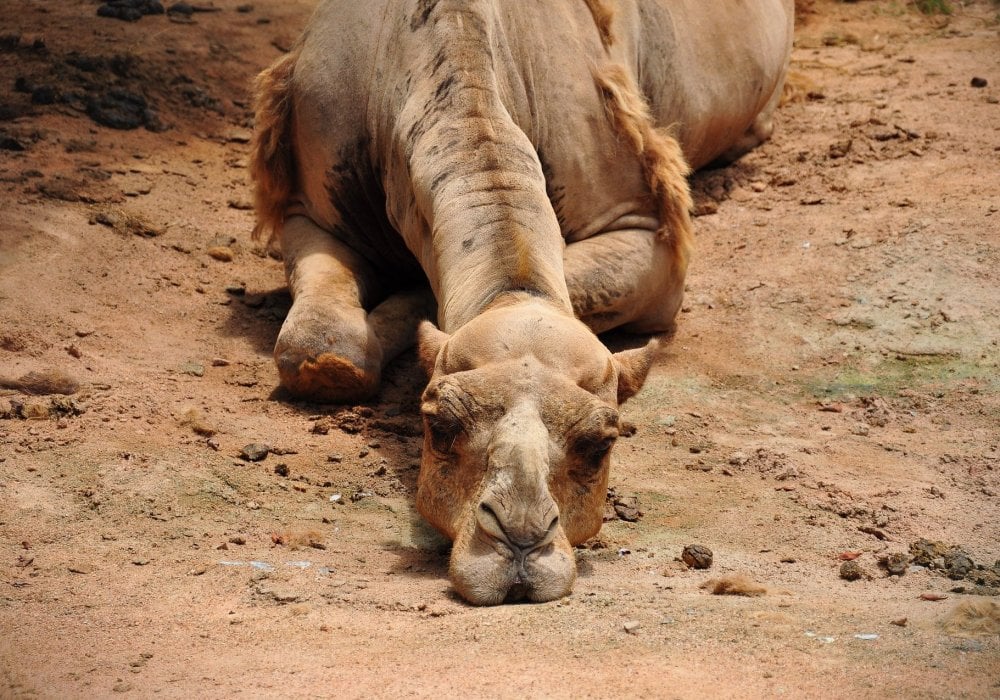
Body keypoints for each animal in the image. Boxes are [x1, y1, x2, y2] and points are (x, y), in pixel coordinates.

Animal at [252, 0, 796, 600]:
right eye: (438, 424)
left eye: (601, 443)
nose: (519, 541)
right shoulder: (308, 207)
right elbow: (322, 349)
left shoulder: (646, 231)